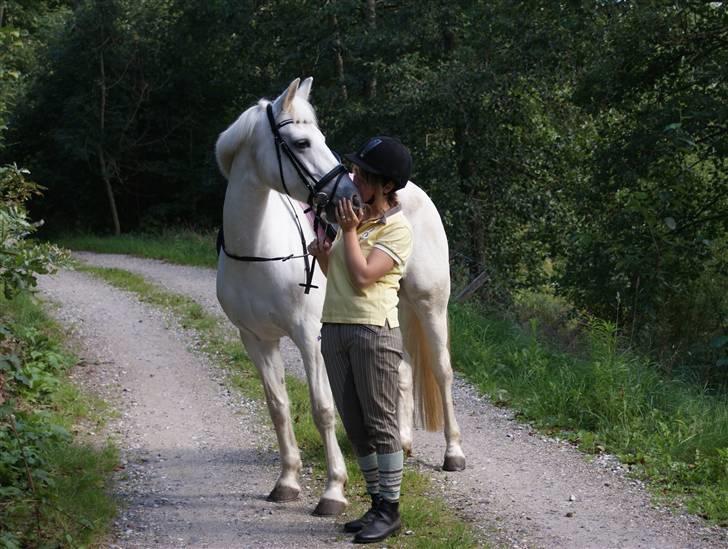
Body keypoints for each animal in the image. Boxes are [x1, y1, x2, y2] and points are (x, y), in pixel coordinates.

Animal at [215, 77, 465, 516]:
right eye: (300, 143)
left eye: (322, 138)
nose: (350, 196)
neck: (258, 250)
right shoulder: (255, 339)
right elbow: (278, 407)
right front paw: (287, 481)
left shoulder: (307, 335)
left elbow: (323, 408)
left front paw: (333, 489)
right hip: (394, 309)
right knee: (402, 372)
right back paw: (401, 442)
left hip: (430, 306)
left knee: (441, 371)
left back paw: (453, 453)